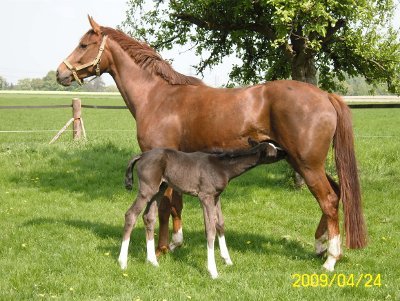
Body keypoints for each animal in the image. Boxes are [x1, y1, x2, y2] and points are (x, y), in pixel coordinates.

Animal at [119, 142, 284, 278]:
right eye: (273, 151)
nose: (284, 151)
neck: (222, 167)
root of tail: (142, 155)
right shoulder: (205, 196)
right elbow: (210, 230)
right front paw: (213, 271)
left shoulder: (216, 197)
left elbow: (220, 224)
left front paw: (227, 260)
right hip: (147, 190)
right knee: (131, 215)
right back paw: (122, 262)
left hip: (160, 189)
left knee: (149, 217)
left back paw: (153, 261)